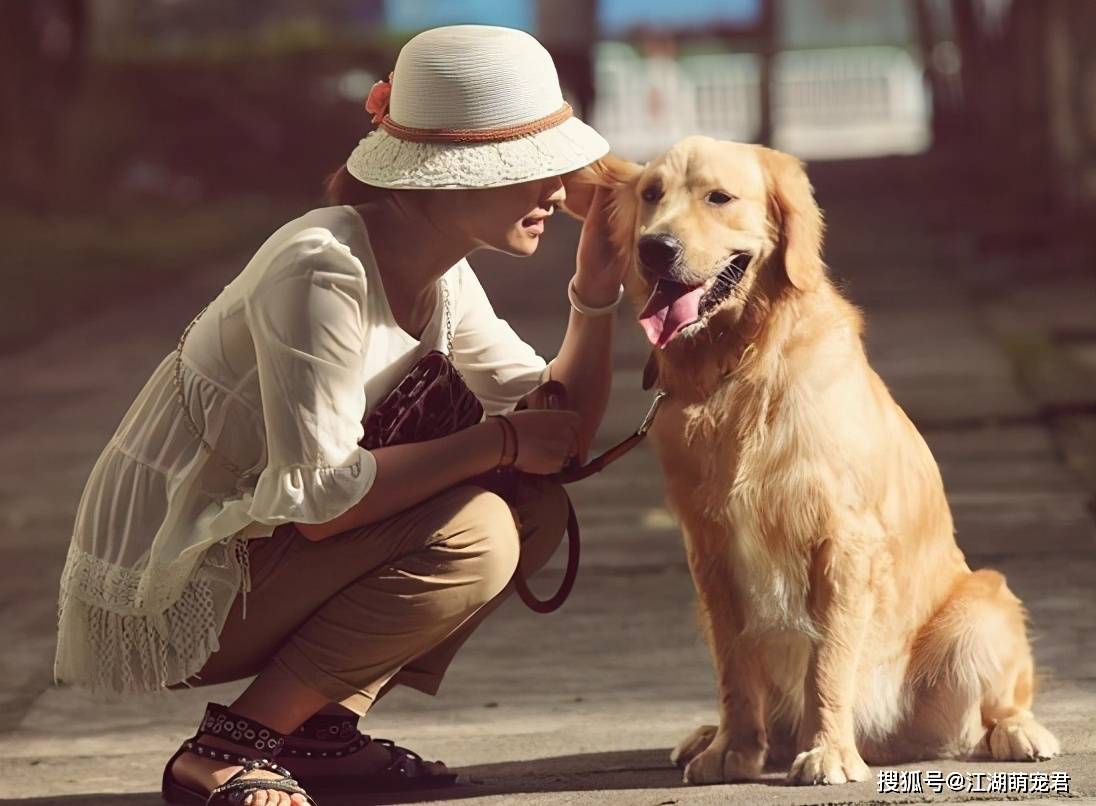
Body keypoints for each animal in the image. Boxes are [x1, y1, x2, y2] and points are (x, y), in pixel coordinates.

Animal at [561, 140, 1056, 789]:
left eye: (718, 197)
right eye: (650, 195)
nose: (654, 247)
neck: (742, 366)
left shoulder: (841, 540)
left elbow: (829, 658)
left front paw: (829, 753)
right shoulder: (709, 546)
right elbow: (734, 662)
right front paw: (732, 748)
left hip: (982, 607)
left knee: (995, 707)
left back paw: (1020, 732)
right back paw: (712, 735)